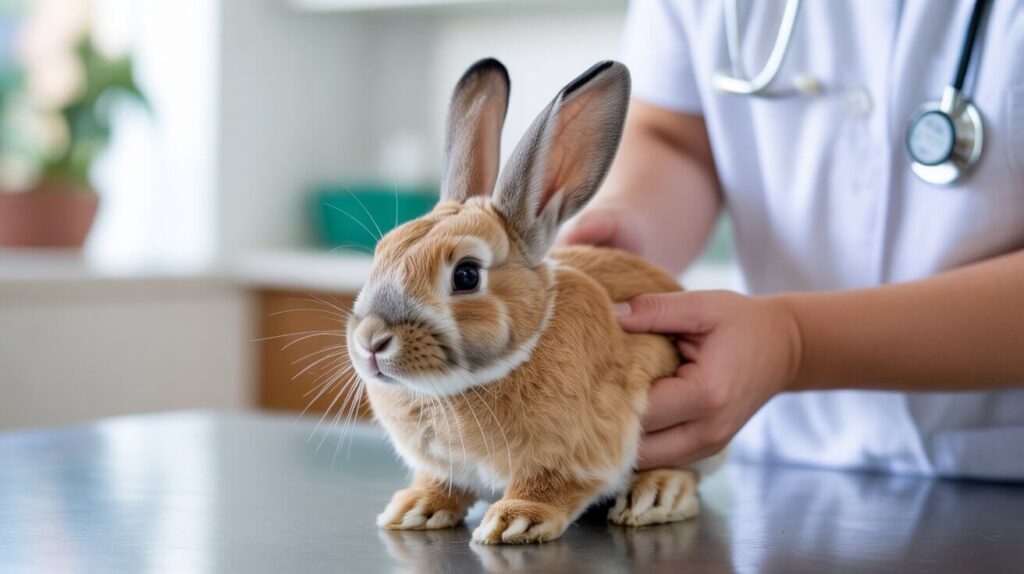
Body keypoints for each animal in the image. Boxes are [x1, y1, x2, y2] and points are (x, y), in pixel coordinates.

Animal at [346, 58, 723, 545]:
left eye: (466, 275)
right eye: (381, 253)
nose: (371, 341)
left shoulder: (575, 454)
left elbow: (551, 486)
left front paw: (513, 522)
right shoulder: (446, 469)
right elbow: (441, 485)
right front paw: (414, 509)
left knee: (686, 473)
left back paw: (657, 495)